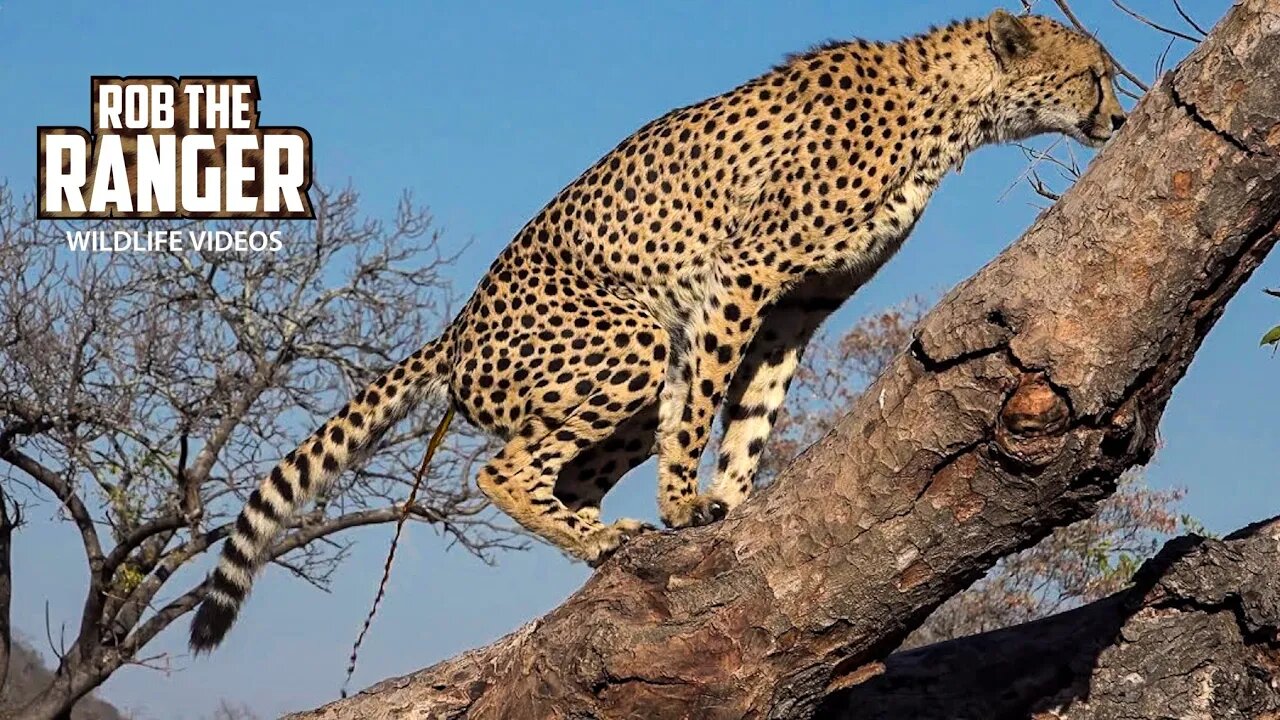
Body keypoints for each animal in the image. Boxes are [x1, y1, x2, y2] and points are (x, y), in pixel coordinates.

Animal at [186, 8, 1121, 648]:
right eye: (1094, 76)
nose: (1115, 120)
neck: (949, 109)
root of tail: (454, 329)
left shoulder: (798, 307)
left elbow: (752, 414)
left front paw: (729, 505)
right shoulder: (743, 273)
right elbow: (705, 406)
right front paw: (683, 504)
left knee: (569, 473)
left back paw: (601, 536)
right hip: (633, 336)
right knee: (502, 468)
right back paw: (604, 536)